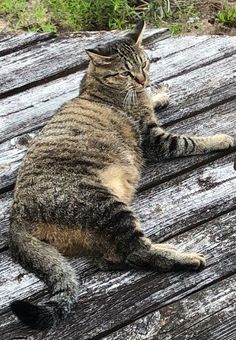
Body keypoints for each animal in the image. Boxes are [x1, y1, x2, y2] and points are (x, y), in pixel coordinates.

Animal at [9, 21, 234, 330]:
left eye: (145, 63)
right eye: (125, 72)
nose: (142, 79)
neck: (96, 85)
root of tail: (16, 217)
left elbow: (153, 100)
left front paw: (159, 95)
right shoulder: (156, 141)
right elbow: (189, 141)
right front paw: (221, 139)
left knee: (111, 257)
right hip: (106, 206)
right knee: (136, 252)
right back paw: (185, 258)